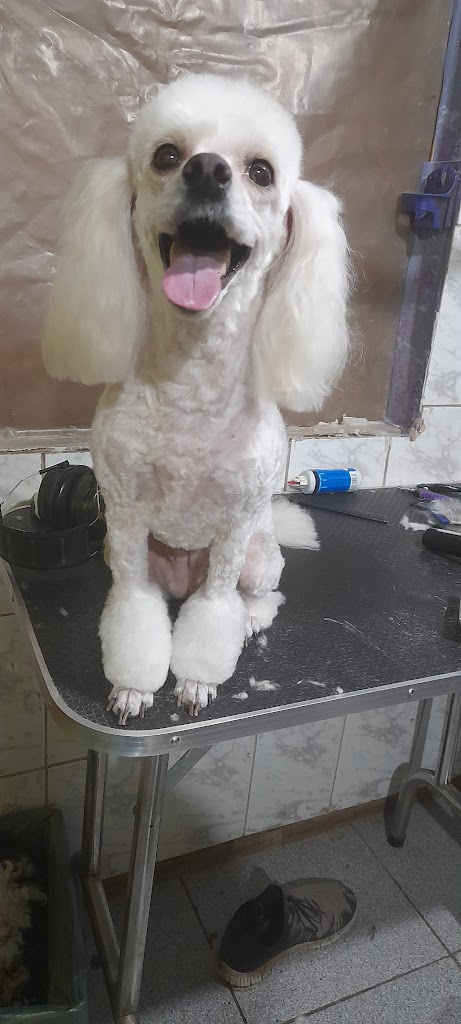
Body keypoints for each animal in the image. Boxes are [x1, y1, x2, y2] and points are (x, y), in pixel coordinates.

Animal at [43, 73, 349, 721]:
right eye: (166, 155)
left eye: (261, 171)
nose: (207, 171)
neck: (192, 380)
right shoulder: (126, 517)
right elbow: (134, 611)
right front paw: (134, 687)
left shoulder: (234, 525)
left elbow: (215, 612)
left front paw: (196, 681)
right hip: (125, 554)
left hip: (259, 552)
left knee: (260, 596)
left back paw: (252, 617)